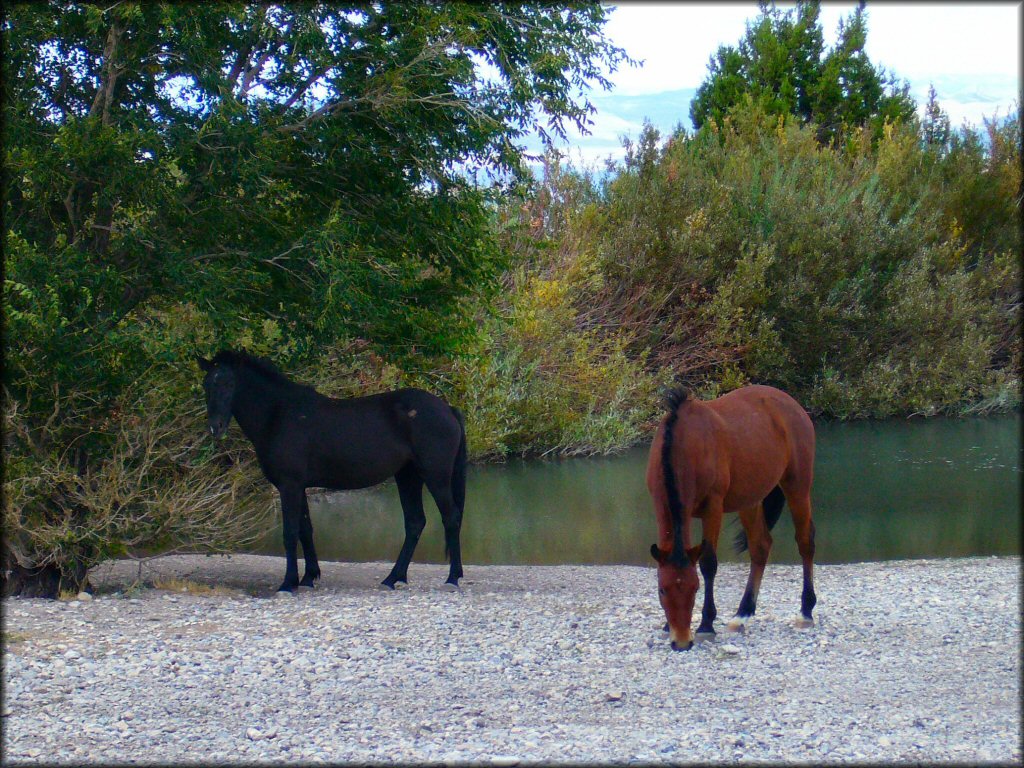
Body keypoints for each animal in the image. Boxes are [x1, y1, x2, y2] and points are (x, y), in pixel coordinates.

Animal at [196, 352, 468, 593]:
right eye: (207, 384)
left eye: (230, 383)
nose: (215, 426)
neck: (280, 415)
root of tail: (448, 409)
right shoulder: (299, 486)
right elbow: (305, 530)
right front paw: (308, 578)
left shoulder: (289, 485)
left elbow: (290, 532)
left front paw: (288, 584)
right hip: (408, 476)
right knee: (415, 523)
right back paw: (394, 578)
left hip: (435, 476)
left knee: (451, 517)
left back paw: (452, 578)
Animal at [647, 385, 815, 651]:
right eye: (662, 590)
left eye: (695, 589)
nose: (682, 642)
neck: (684, 445)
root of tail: (792, 404)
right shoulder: (660, 505)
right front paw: (667, 626)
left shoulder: (712, 508)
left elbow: (708, 564)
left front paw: (706, 625)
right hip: (750, 500)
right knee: (760, 547)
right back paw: (742, 614)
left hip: (797, 485)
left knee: (805, 541)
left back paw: (806, 611)